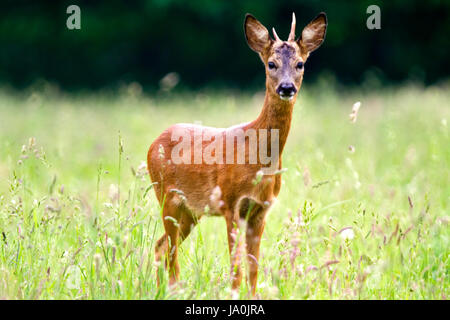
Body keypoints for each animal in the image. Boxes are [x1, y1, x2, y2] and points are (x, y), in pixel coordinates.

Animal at [148, 12, 326, 298]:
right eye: (271, 64)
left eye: (300, 64)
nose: (287, 87)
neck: (258, 159)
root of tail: (154, 142)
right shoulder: (230, 204)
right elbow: (236, 267)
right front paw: (233, 294)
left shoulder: (260, 210)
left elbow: (253, 267)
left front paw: (252, 296)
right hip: (167, 197)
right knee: (171, 252)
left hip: (191, 211)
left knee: (161, 246)